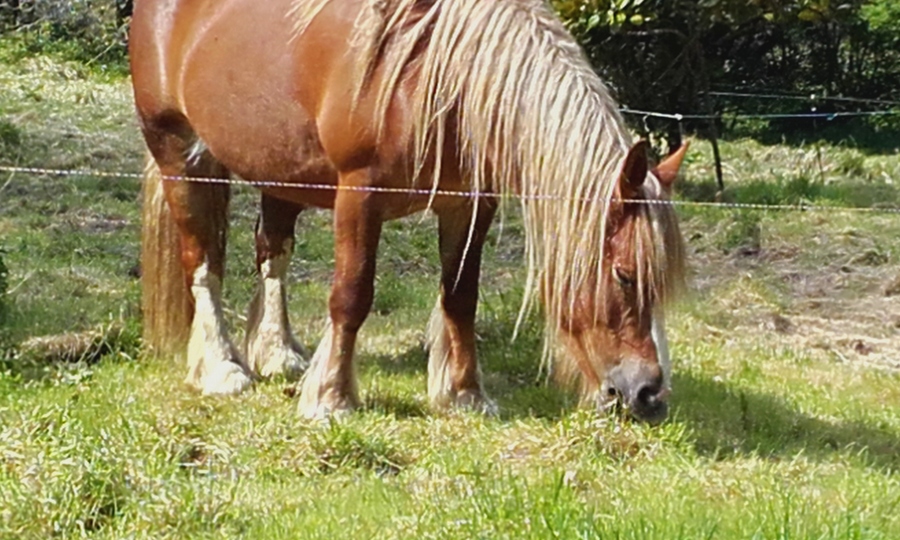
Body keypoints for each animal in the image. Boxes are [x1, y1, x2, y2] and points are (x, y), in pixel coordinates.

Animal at [130, 0, 684, 422]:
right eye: (624, 275)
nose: (649, 394)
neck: (434, 76)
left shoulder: (470, 204)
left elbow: (460, 298)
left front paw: (465, 394)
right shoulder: (359, 193)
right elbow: (351, 296)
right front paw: (332, 399)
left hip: (279, 167)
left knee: (273, 254)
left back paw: (279, 352)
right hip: (179, 152)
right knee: (202, 261)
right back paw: (223, 368)